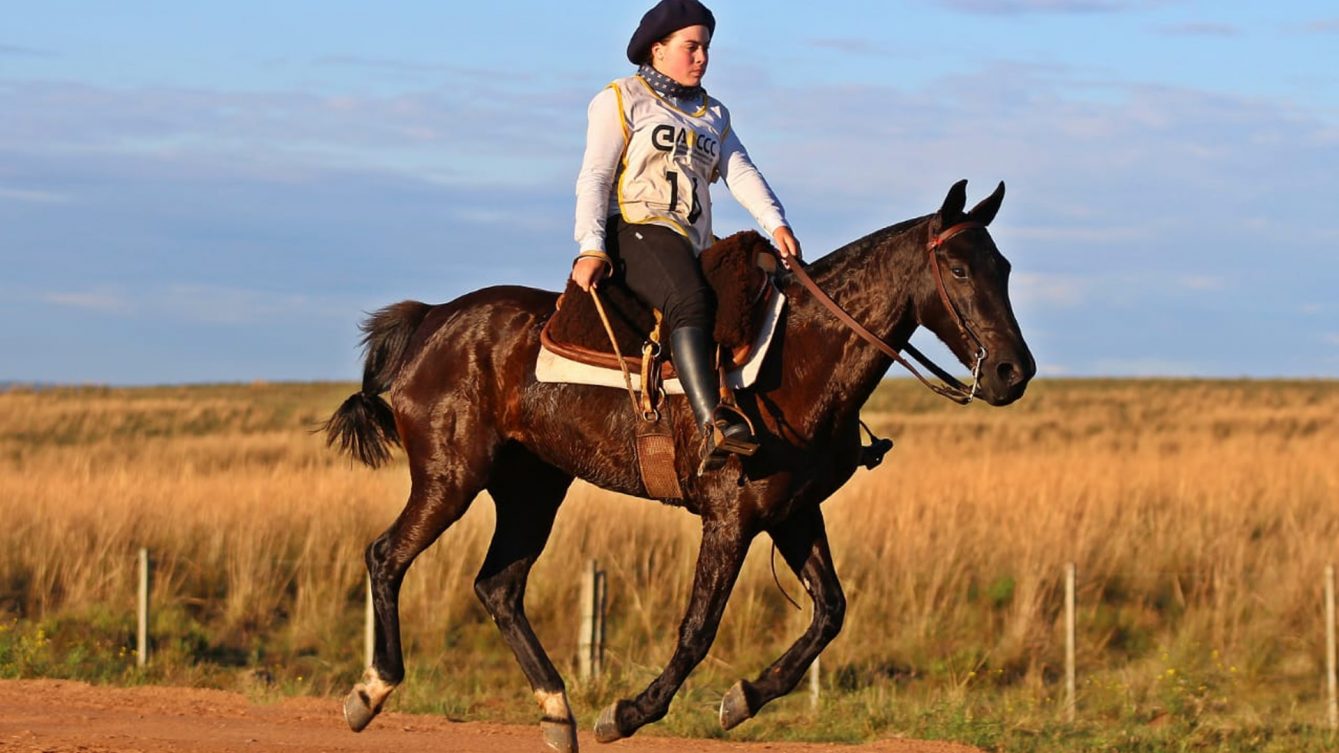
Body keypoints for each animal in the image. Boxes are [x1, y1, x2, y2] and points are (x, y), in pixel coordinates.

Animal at [324, 178, 1033, 744]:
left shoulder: (791, 512)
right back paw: (372, 690)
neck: (799, 355)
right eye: (960, 271)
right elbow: (698, 628)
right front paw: (631, 712)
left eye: (1003, 267)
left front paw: (743, 699)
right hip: (451, 478)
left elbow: (830, 612)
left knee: (498, 586)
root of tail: (433, 320)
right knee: (387, 556)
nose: (1013, 372)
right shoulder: (730, 518)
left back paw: (557, 711)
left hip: (533, 489)